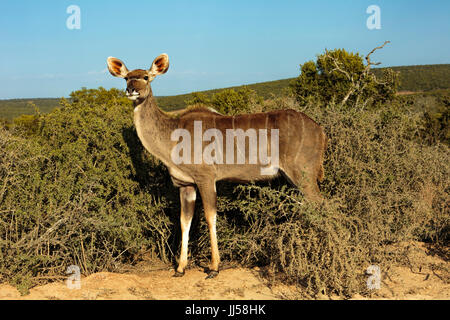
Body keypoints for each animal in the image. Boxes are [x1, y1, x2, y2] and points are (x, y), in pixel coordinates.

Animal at [109, 53, 326, 278]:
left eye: (145, 77)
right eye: (126, 78)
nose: (131, 90)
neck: (173, 134)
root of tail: (320, 130)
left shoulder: (206, 179)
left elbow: (210, 216)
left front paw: (214, 267)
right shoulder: (186, 185)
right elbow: (184, 221)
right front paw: (180, 268)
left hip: (304, 176)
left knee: (320, 205)